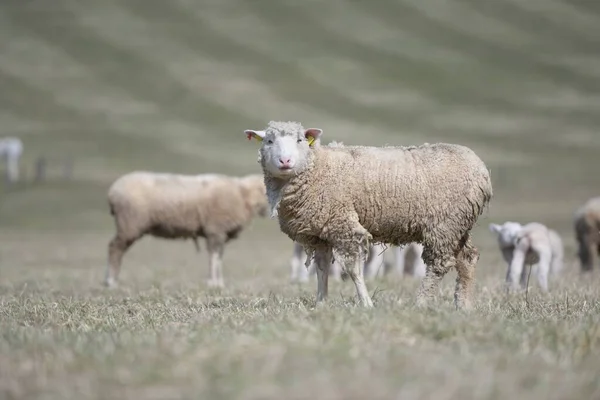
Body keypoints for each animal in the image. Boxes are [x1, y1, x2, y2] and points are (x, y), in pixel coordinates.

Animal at [106, 170, 270, 290]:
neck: (243, 195)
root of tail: (113, 191)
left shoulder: (219, 233)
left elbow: (218, 258)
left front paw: (219, 283)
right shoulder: (215, 230)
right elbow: (214, 258)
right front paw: (213, 284)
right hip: (129, 223)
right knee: (115, 248)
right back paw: (111, 281)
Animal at [244, 119, 492, 310]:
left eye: (299, 140)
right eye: (269, 141)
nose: (285, 161)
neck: (318, 168)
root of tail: (481, 169)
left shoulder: (344, 226)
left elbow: (353, 269)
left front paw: (366, 304)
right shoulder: (321, 233)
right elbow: (322, 269)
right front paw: (321, 303)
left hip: (445, 223)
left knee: (439, 264)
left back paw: (421, 303)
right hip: (458, 225)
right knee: (468, 258)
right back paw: (463, 306)